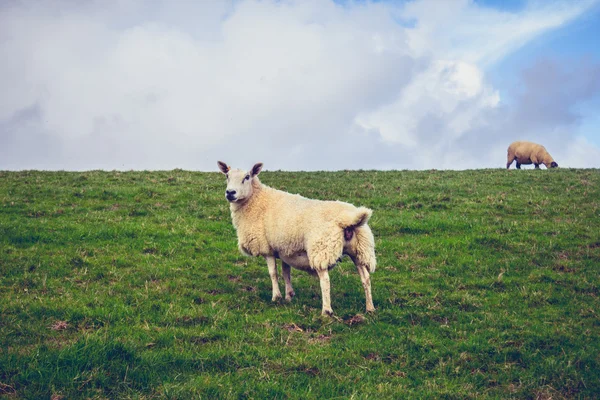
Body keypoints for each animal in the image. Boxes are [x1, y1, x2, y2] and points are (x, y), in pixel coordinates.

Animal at [216, 160, 376, 316]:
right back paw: (370, 308)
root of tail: (348, 219)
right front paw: (289, 296)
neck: (256, 201)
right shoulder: (285, 249)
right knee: (366, 278)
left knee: (325, 280)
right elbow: (286, 272)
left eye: (247, 177)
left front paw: (276, 297)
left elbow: (273, 273)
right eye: (227, 176)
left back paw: (326, 311)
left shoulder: (267, 247)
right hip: (360, 250)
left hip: (321, 249)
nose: (230, 193)